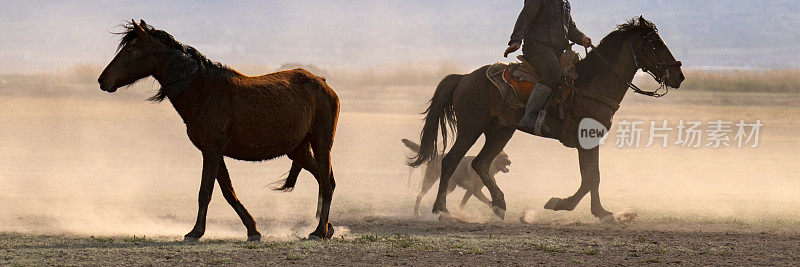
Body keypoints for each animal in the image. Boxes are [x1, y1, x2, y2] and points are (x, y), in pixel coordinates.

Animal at [98, 20, 340, 241]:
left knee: (327, 183)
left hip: (321, 143)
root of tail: (323, 83)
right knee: (323, 179)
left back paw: (319, 231)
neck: (203, 91)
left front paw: (195, 232)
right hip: (298, 150)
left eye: (130, 49)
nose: (102, 80)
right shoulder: (214, 151)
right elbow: (228, 191)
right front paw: (252, 230)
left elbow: (205, 192)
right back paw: (327, 227)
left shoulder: (211, 150)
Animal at [410, 17, 684, 222]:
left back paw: (499, 205)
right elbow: (591, 178)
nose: (679, 75)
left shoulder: (589, 141)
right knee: (451, 160)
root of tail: (464, 78)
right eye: (655, 43)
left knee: (481, 163)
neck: (591, 85)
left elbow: (591, 177)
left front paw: (594, 210)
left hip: (500, 131)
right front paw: (566, 205)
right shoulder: (587, 140)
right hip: (471, 128)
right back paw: (442, 209)